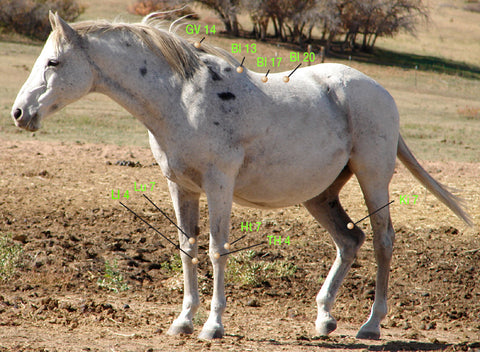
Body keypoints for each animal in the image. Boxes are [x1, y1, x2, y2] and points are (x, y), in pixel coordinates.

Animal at [11, 12, 472, 340]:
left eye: (53, 62)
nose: (18, 113)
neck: (181, 98)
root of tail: (380, 92)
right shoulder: (181, 187)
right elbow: (187, 249)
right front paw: (183, 321)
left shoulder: (219, 185)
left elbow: (217, 250)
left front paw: (213, 326)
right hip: (320, 195)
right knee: (349, 240)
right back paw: (324, 318)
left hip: (373, 178)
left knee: (381, 241)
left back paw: (372, 324)